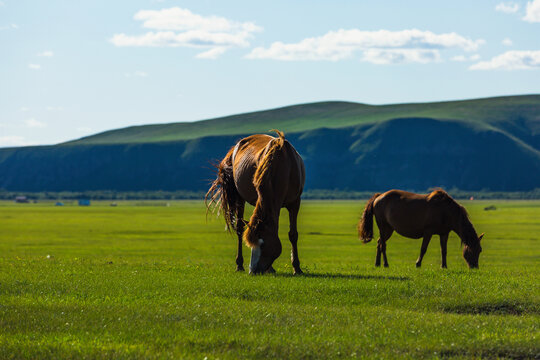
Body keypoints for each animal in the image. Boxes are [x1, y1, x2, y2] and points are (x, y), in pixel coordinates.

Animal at [207, 131, 306, 274]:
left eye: (262, 244)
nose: (253, 270)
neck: (283, 167)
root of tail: (236, 146)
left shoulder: (295, 203)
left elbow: (293, 235)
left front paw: (297, 268)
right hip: (239, 198)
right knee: (239, 228)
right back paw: (240, 265)